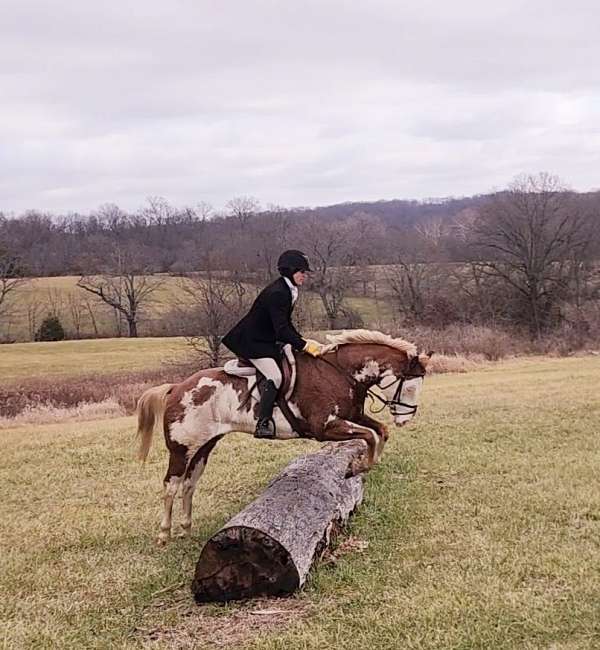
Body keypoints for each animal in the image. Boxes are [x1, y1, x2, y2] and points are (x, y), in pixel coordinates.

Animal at [136, 326, 432, 544]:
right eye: (409, 386)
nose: (405, 419)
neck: (339, 373)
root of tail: (176, 388)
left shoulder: (353, 416)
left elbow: (380, 432)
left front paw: (361, 464)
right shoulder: (325, 428)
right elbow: (369, 437)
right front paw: (354, 468)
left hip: (205, 445)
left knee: (189, 484)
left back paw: (186, 529)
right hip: (181, 448)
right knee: (171, 486)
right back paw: (164, 535)